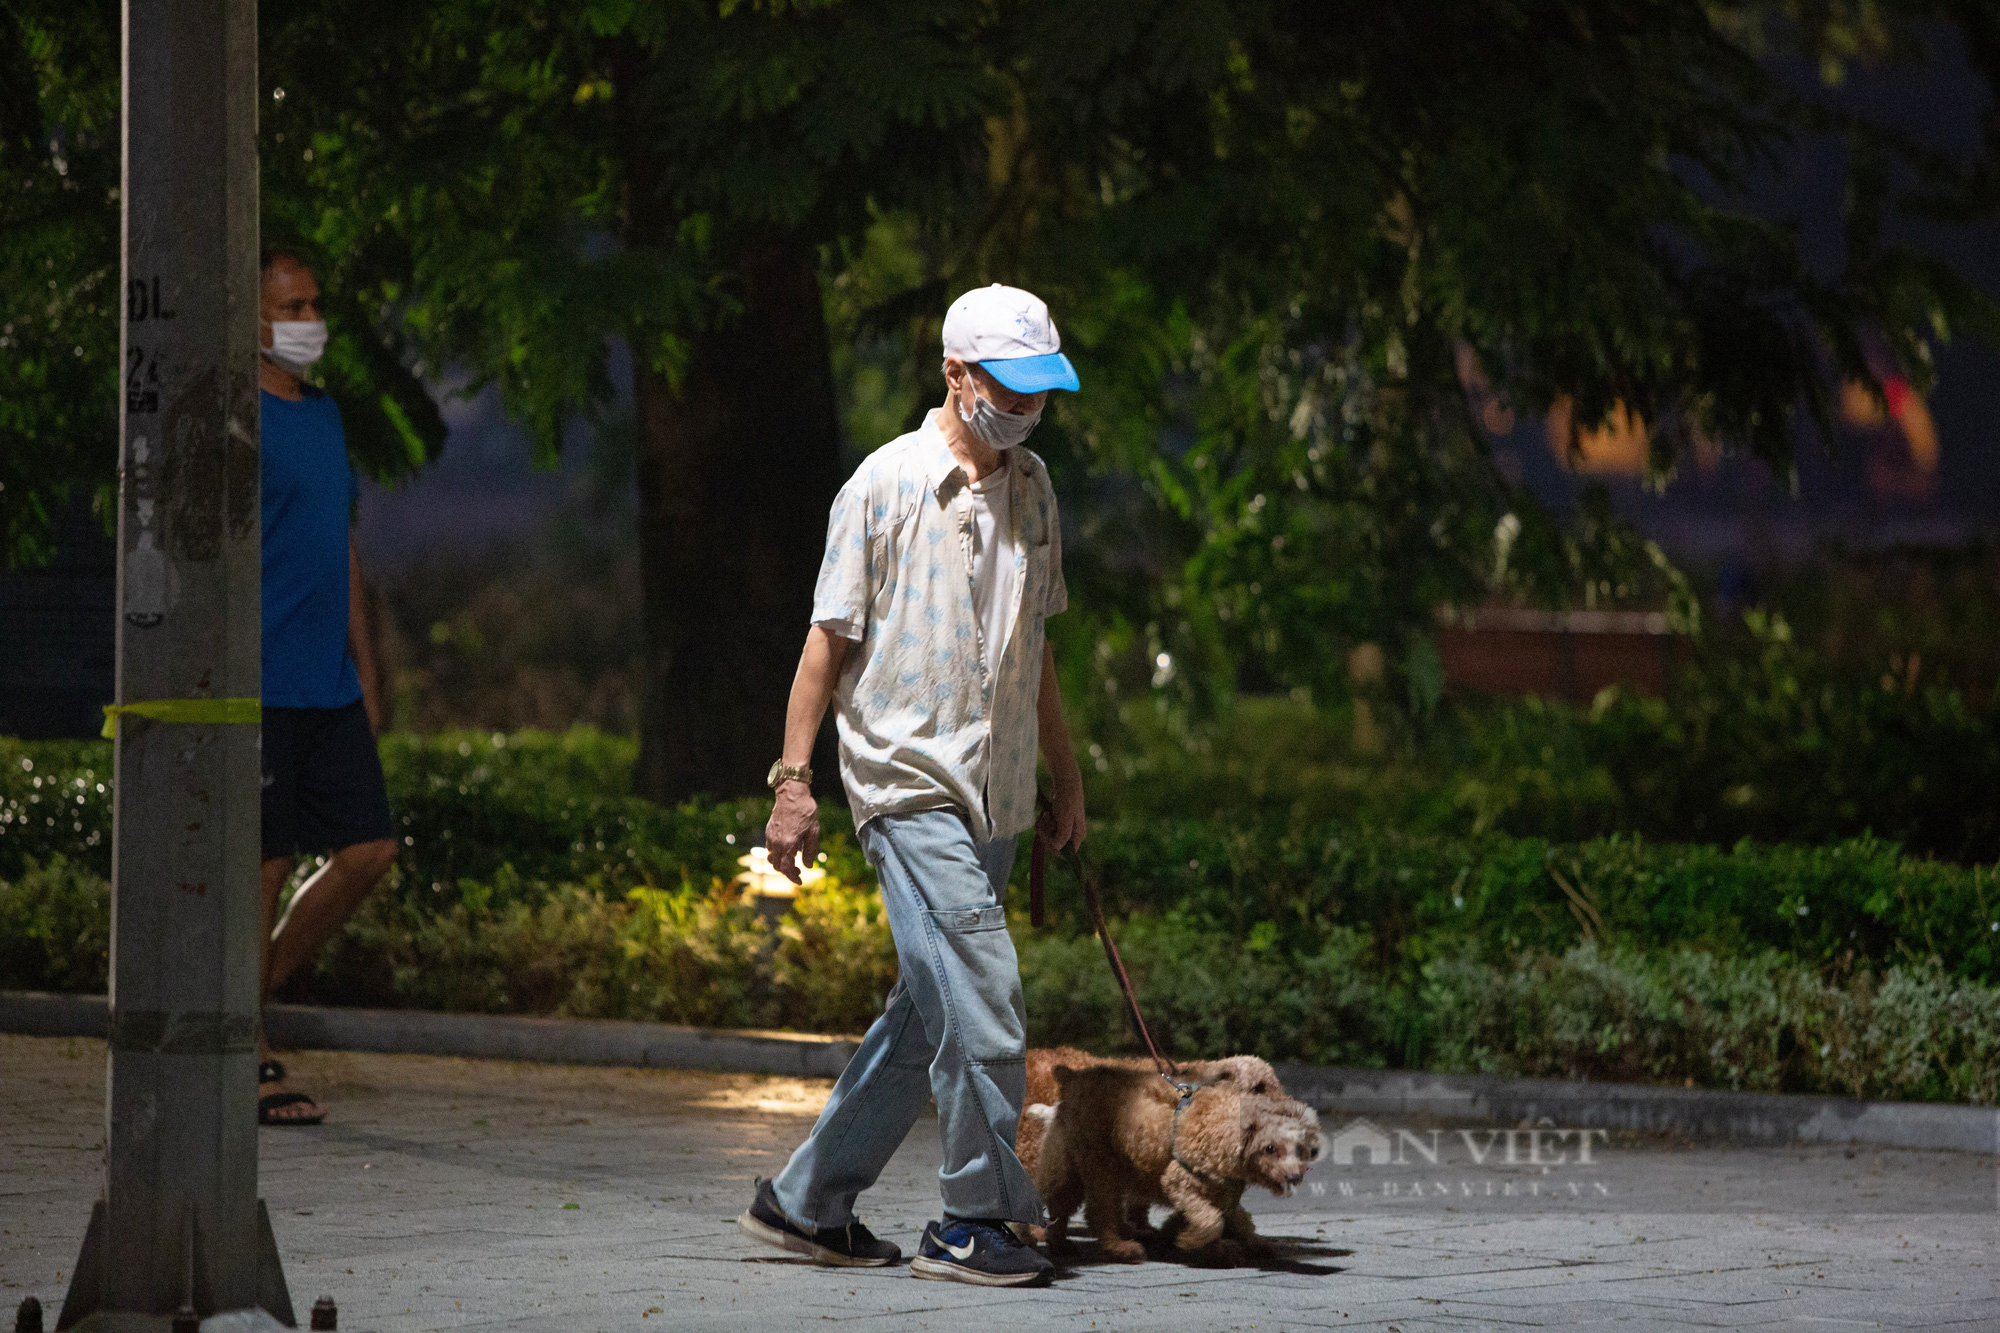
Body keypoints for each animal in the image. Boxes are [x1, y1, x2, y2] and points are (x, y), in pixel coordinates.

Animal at [1024, 1064, 1320, 1264]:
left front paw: (1242, 1245)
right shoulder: (1180, 1181)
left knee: (1061, 1206)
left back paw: (1060, 1245)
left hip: (1071, 1165)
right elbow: (1210, 1220)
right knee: (1096, 1211)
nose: (1294, 1177)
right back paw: (1120, 1247)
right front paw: (1188, 1240)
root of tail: (1073, 1077)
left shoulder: (1222, 1193)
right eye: (1270, 1148)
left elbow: (1237, 1220)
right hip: (1097, 1166)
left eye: (1299, 1149)